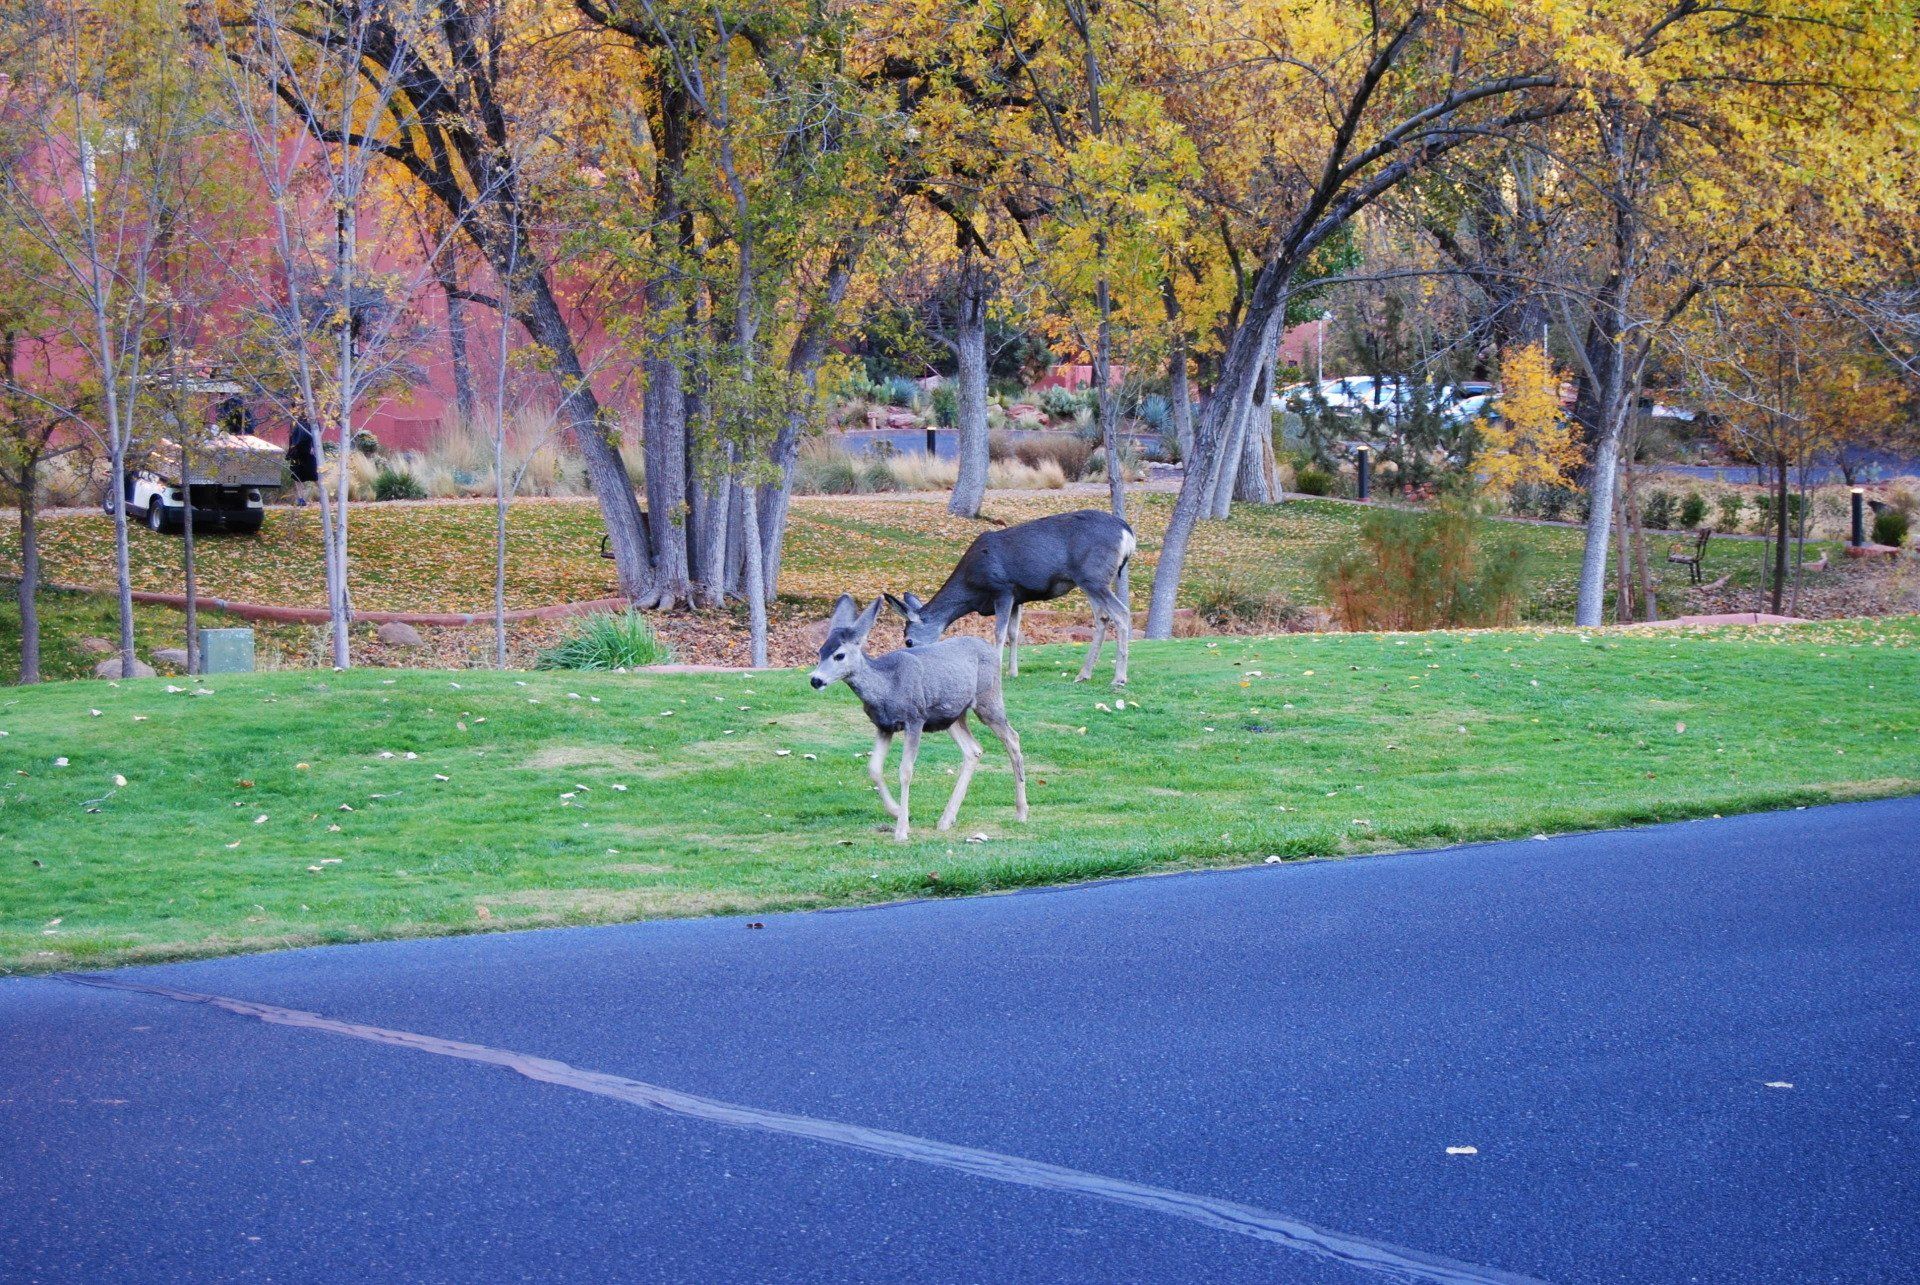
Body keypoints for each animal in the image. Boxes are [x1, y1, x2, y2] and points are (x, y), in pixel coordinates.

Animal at [808, 594, 1028, 843]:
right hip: (952, 715)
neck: (886, 686)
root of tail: (988, 648)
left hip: (988, 700)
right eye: (820, 652)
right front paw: (896, 811)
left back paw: (1021, 812)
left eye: (839, 655)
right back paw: (946, 819)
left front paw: (902, 829)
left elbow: (905, 770)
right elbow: (874, 768)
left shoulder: (915, 719)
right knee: (973, 749)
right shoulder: (884, 726)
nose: (815, 680)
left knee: (1012, 737)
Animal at [886, 509, 1136, 687]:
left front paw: (998, 672)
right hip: (1089, 581)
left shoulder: (1003, 589)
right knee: (1102, 618)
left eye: (908, 641)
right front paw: (1012, 672)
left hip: (1093, 576)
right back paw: (1083, 674)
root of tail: (1128, 534)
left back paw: (1119, 678)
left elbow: (998, 633)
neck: (972, 588)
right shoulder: (1018, 597)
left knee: (1121, 612)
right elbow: (1014, 634)